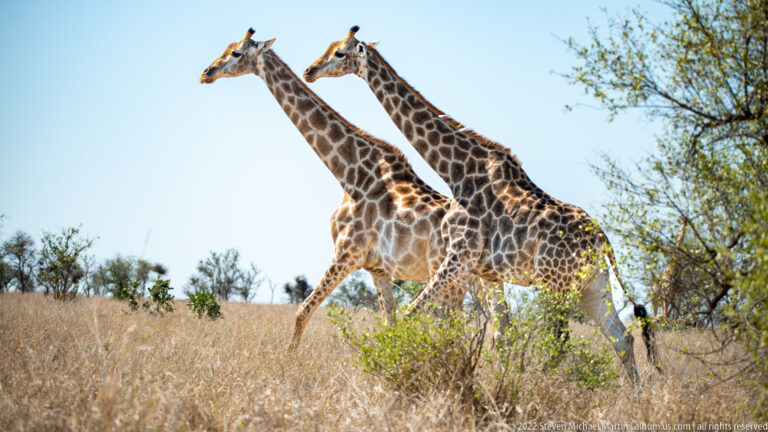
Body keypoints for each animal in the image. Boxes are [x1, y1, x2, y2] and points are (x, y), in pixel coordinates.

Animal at [200, 29, 500, 350]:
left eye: (236, 53)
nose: (207, 73)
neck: (349, 174)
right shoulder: (378, 268)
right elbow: (389, 325)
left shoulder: (347, 253)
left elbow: (302, 312)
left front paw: (287, 359)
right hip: (478, 278)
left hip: (449, 274)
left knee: (458, 328)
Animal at [304, 26, 660, 380]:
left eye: (339, 52)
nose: (310, 70)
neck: (457, 171)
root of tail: (602, 239)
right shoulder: (485, 271)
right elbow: (501, 336)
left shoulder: (458, 254)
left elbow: (412, 314)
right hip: (593, 285)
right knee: (622, 338)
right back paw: (636, 393)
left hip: (556, 285)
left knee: (562, 343)